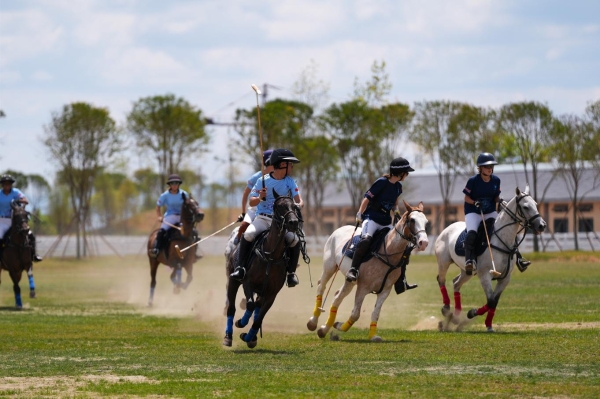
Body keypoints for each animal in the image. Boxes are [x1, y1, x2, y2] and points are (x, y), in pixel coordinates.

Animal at [223, 192, 300, 348]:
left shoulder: (272, 293)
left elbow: (259, 317)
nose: (294, 222)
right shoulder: (248, 282)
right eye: (279, 206)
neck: (271, 256)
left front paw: (248, 336)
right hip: (233, 279)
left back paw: (252, 337)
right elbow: (250, 305)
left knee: (257, 308)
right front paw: (241, 323)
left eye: (294, 206)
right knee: (231, 307)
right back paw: (228, 336)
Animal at [308, 202, 428, 342]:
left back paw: (323, 330)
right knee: (321, 287)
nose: (424, 243)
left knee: (337, 296)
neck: (388, 251)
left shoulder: (385, 290)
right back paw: (313, 322)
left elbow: (375, 313)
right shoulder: (363, 288)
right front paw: (339, 325)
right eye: (412, 220)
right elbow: (355, 314)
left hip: (350, 280)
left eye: (426, 222)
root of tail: (340, 229)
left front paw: (373, 336)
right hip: (330, 267)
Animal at [434, 186, 548, 332]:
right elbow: (491, 300)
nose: (542, 225)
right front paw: (472, 313)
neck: (503, 240)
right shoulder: (485, 275)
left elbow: (494, 302)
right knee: (441, 279)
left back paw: (455, 316)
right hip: (444, 262)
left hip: (467, 270)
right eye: (525, 206)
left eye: (536, 204)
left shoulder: (505, 278)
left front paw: (488, 325)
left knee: (456, 283)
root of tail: (447, 227)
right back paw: (447, 309)